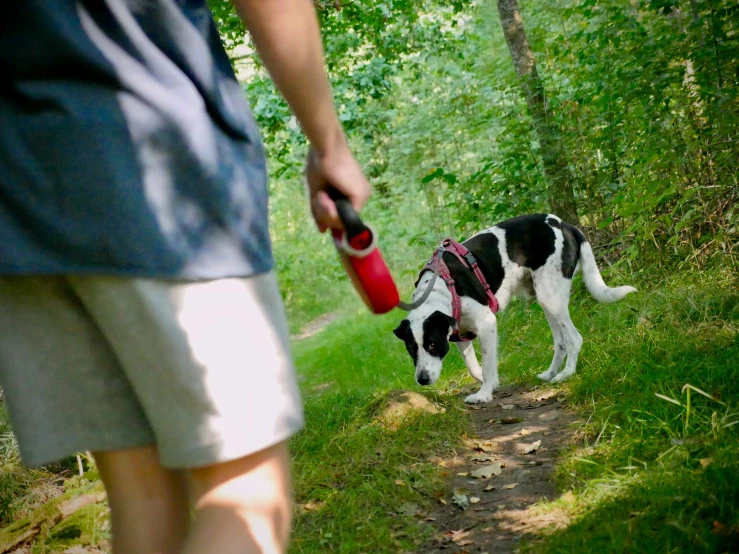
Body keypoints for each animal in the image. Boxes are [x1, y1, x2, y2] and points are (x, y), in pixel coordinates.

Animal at [394, 213, 636, 404]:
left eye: (432, 344)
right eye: (411, 348)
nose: (422, 379)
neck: (443, 286)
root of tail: (565, 225)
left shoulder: (487, 324)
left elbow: (488, 364)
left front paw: (484, 393)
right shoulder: (459, 334)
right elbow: (474, 367)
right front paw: (486, 381)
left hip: (551, 297)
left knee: (574, 339)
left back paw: (566, 374)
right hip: (546, 299)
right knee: (560, 342)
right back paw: (550, 373)